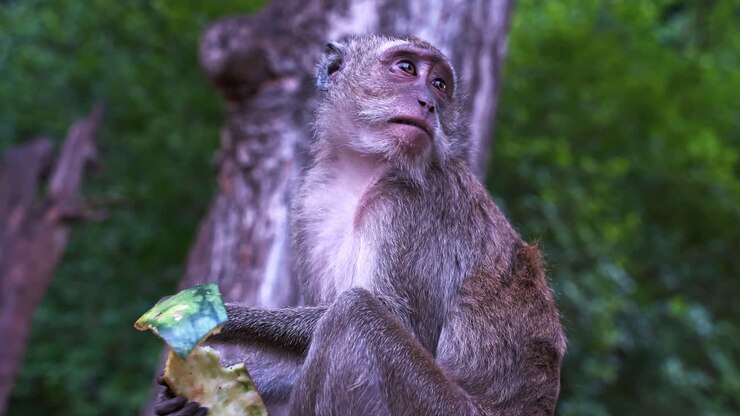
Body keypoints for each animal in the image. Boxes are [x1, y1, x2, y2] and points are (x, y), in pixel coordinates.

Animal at [154, 34, 566, 416]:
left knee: (353, 314)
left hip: (437, 407)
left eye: (439, 84)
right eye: (406, 68)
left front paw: (228, 316)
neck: (366, 167)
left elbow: (397, 319)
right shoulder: (308, 203)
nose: (429, 103)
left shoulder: (413, 204)